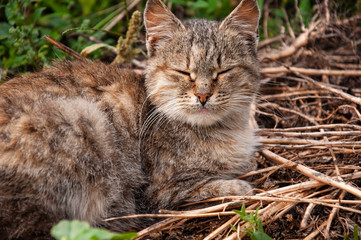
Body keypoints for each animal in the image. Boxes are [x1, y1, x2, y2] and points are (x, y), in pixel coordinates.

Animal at [0, 0, 258, 238]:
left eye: (223, 71)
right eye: (183, 72)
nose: (203, 95)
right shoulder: (157, 193)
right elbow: (207, 187)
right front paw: (239, 186)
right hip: (84, 120)